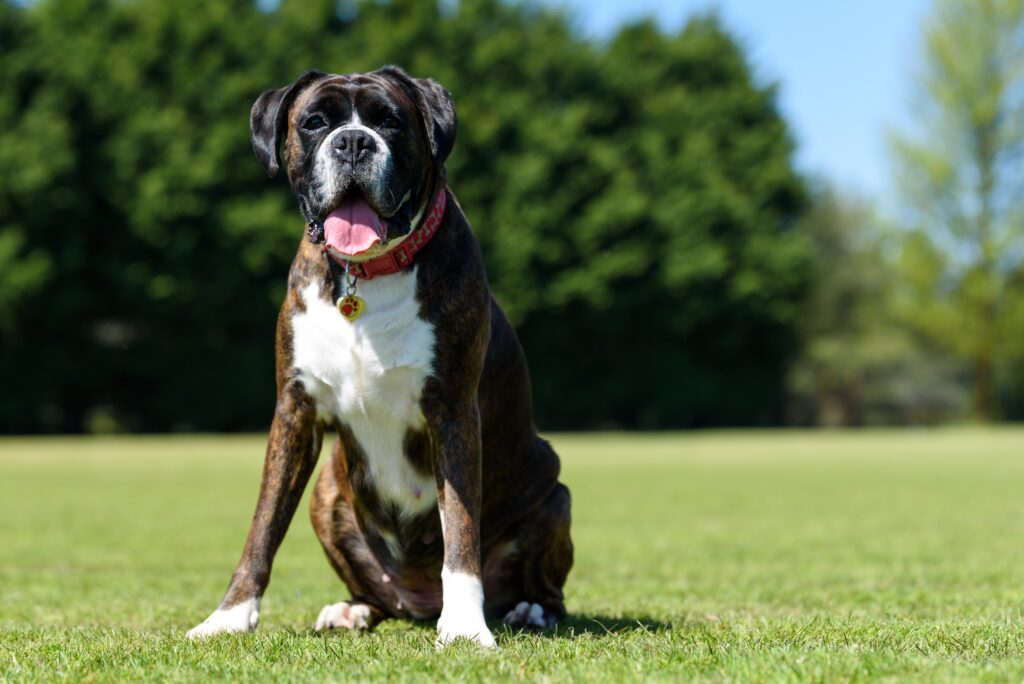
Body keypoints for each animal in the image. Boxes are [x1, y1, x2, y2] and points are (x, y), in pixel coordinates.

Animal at [188, 66, 573, 651]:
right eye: (314, 122)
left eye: (390, 120)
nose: (352, 142)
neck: (366, 274)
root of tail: (417, 598)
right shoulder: (294, 412)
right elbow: (263, 525)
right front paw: (228, 617)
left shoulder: (453, 412)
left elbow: (460, 528)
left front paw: (465, 626)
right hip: (327, 492)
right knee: (375, 592)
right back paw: (352, 609)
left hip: (555, 495)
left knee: (545, 587)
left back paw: (528, 610)